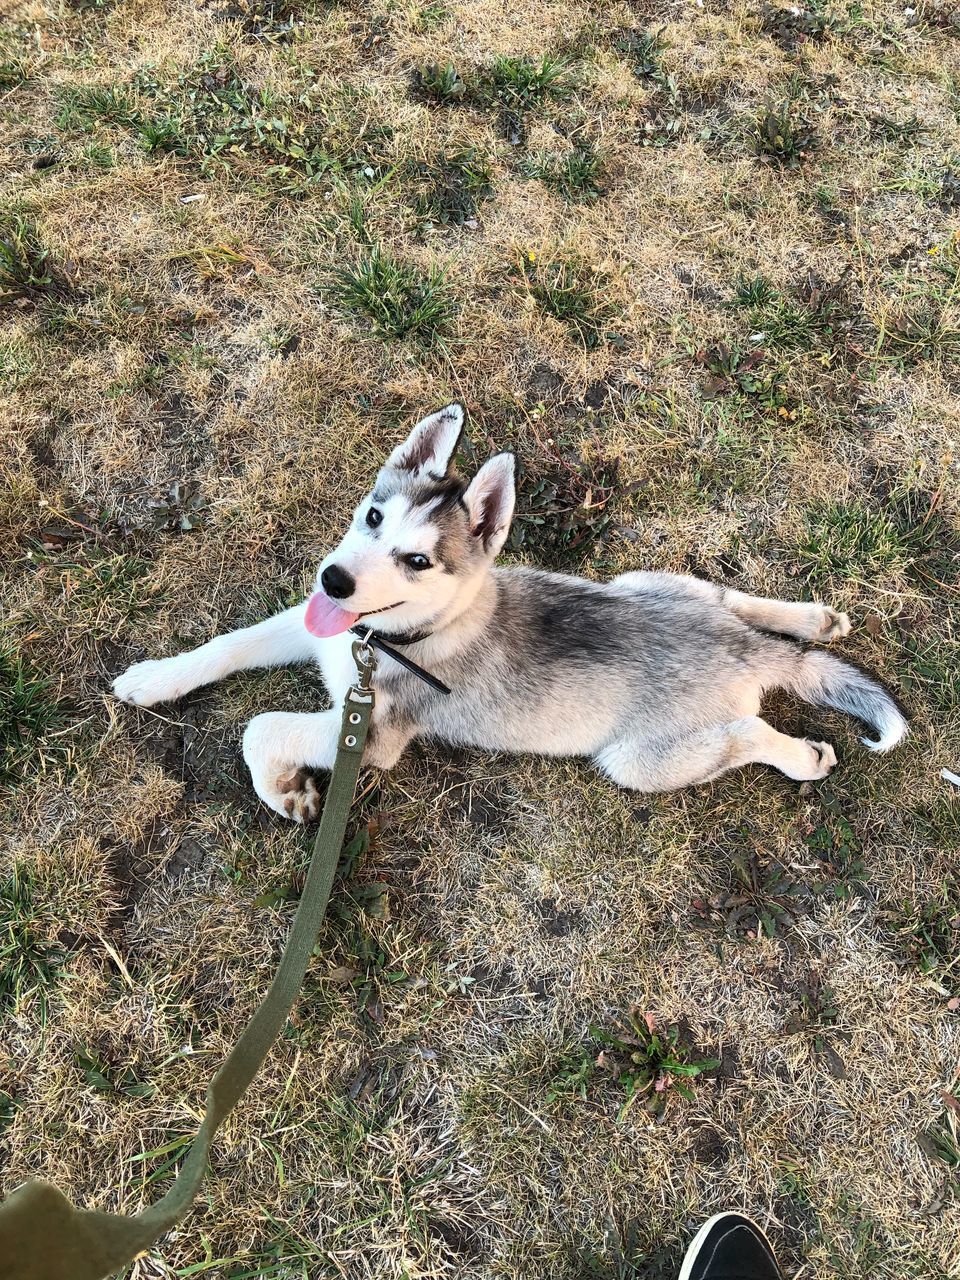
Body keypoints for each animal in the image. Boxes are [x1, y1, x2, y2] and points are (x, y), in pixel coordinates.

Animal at [112, 401, 911, 819]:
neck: (389, 636)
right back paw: (813, 619)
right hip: (651, 583)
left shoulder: (372, 737)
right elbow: (230, 643)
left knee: (749, 735)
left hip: (638, 760)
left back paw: (804, 754)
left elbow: (258, 726)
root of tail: (746, 653)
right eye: (372, 516)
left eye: (418, 561)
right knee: (728, 596)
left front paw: (284, 793)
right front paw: (154, 678)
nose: (333, 579)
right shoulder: (317, 628)